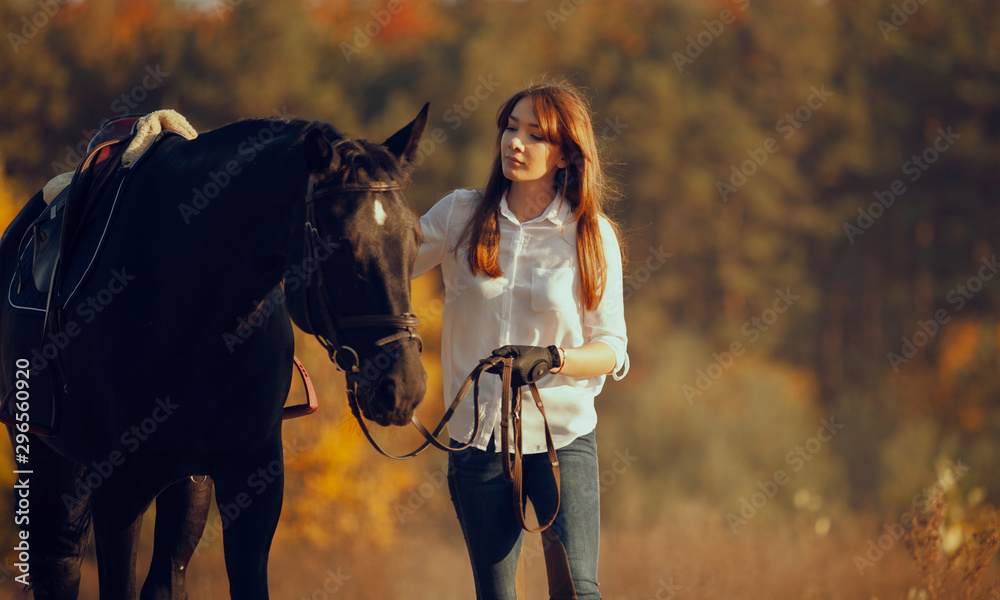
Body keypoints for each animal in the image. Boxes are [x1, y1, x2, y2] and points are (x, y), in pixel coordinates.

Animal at [0, 106, 430, 599]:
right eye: (340, 243)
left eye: (416, 239)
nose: (404, 386)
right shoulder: (118, 489)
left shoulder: (252, 480)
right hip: (44, 453)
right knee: (59, 565)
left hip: (184, 483)